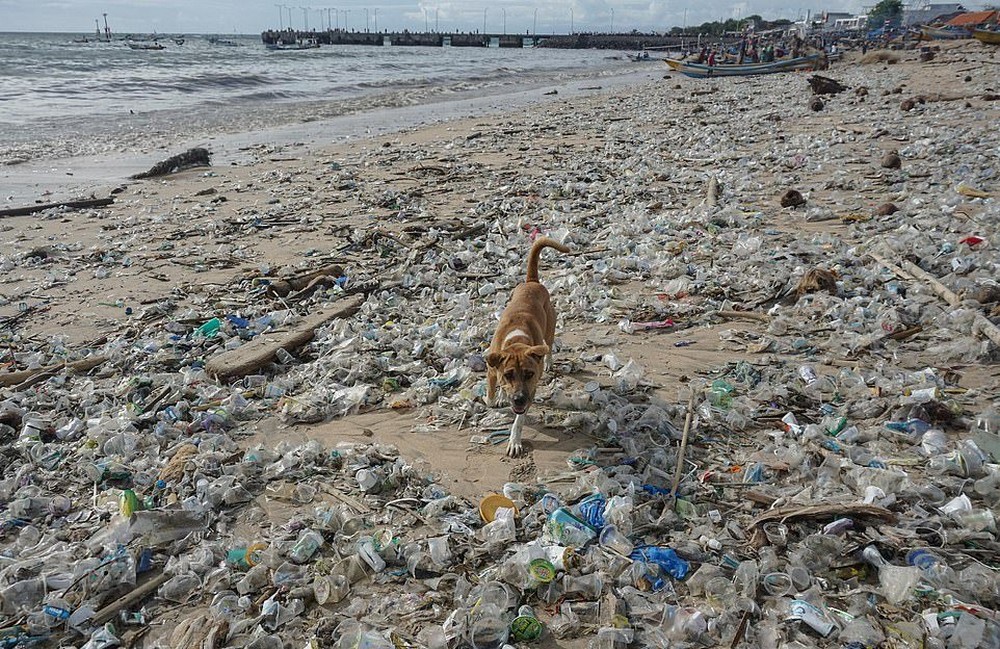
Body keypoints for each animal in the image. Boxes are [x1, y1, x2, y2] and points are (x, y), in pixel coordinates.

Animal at [486, 237, 572, 456]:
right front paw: (497, 397)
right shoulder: (492, 369)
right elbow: (490, 394)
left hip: (550, 329)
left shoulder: (530, 391)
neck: (516, 340)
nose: (518, 399)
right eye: (508, 374)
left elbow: (519, 421)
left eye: (529, 374)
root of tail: (532, 282)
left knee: (549, 345)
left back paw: (548, 361)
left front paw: (515, 442)